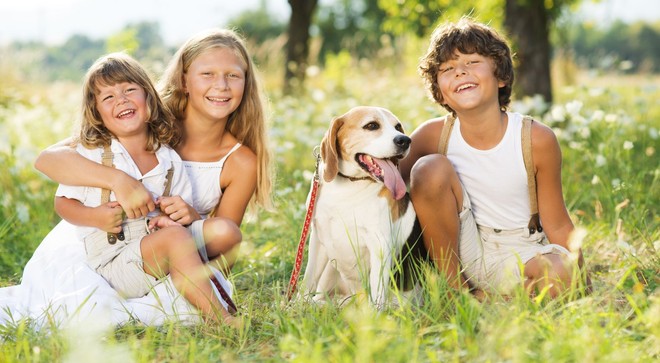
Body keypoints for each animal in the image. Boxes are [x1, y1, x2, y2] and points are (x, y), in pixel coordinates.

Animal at [302, 106, 416, 308]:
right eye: (372, 125)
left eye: (398, 127)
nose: (404, 140)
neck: (349, 185)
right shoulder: (318, 238)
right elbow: (308, 278)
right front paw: (292, 305)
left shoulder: (379, 244)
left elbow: (377, 292)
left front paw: (374, 315)